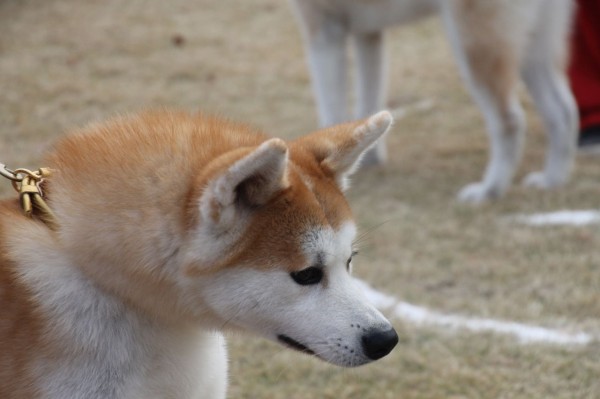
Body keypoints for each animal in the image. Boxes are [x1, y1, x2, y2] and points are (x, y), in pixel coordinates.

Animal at [288, 0, 580, 203]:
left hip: (473, 43)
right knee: (563, 112)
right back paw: (551, 180)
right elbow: (368, 102)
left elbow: (330, 111)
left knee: (510, 120)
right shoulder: (368, 34)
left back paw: (490, 190)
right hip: (534, 48)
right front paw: (365, 159)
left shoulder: (324, 32)